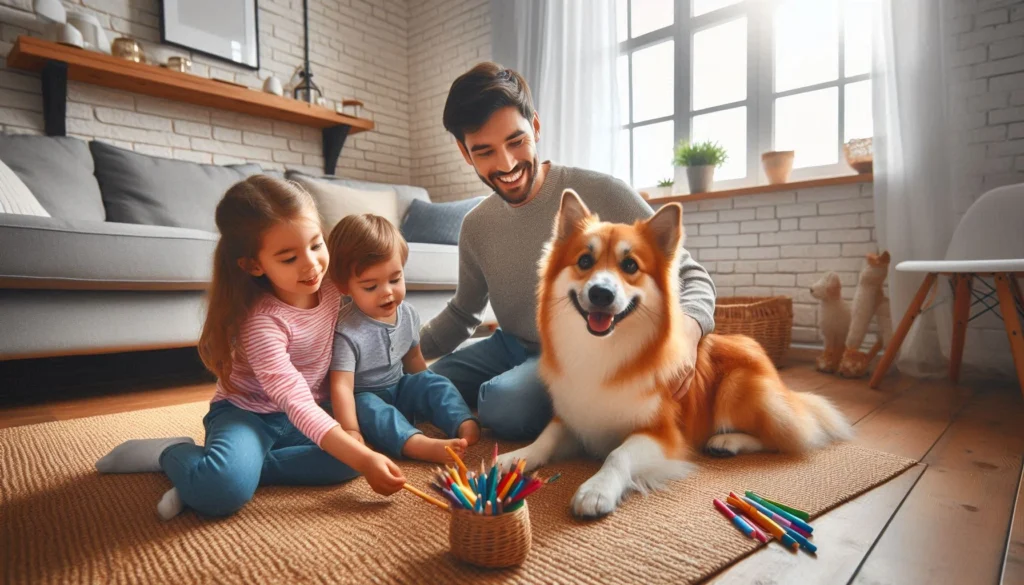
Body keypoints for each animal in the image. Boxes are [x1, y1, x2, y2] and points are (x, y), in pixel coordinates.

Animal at [499, 188, 851, 516]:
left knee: (785, 437)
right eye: (584, 261)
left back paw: (727, 441)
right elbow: (545, 437)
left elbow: (618, 454)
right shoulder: (574, 416)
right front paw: (514, 457)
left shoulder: (662, 434)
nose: (601, 293)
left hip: (737, 388)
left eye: (630, 265)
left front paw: (596, 490)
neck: (602, 350)